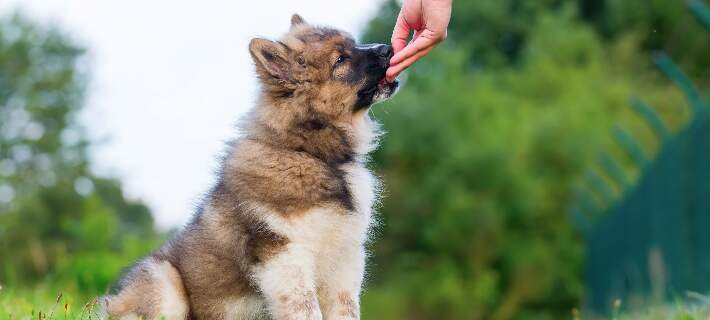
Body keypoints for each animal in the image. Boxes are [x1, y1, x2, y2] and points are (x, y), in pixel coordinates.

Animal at [100, 14, 400, 320]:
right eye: (340, 59)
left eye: (353, 43)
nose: (387, 48)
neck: (312, 154)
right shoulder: (287, 254)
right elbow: (305, 308)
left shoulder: (346, 257)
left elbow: (347, 309)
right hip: (164, 282)